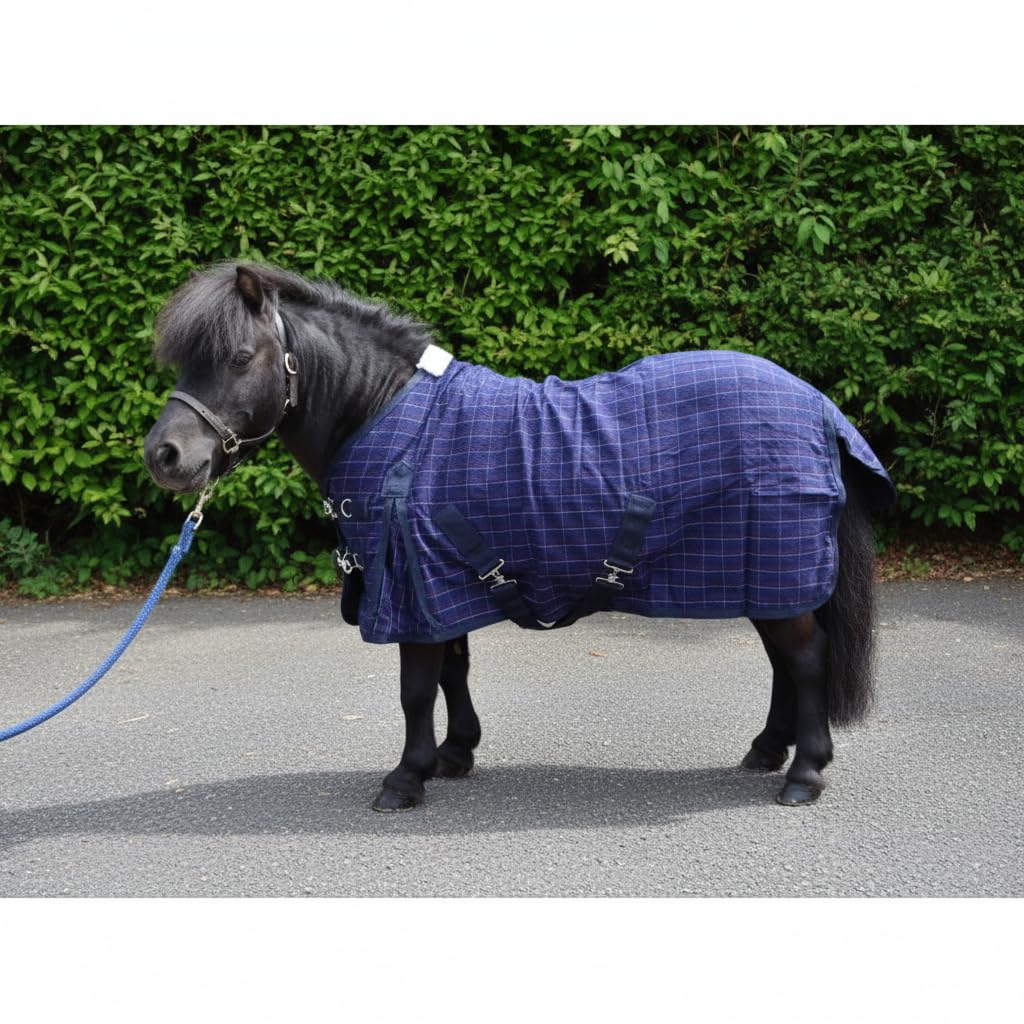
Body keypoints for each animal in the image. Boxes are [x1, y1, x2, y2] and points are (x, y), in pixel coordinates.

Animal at [144, 261, 895, 812]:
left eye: (240, 357)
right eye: (183, 364)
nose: (165, 456)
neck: (387, 415)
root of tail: (816, 405)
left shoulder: (411, 584)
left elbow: (415, 687)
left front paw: (404, 779)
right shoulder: (439, 582)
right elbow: (451, 671)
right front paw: (453, 755)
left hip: (779, 567)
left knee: (804, 661)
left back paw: (804, 774)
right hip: (760, 574)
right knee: (784, 663)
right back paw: (768, 751)